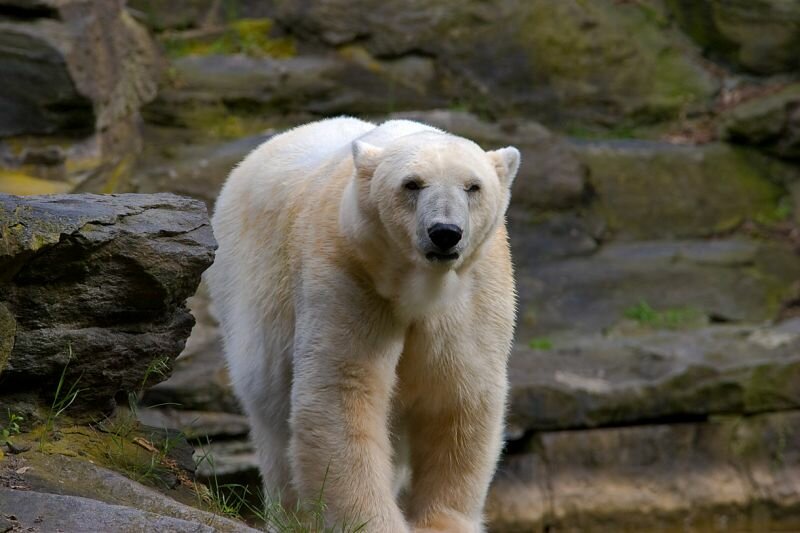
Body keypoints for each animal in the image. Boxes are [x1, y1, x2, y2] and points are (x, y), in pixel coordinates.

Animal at [206, 117, 520, 532]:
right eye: (412, 184)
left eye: (473, 186)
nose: (445, 232)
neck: (418, 285)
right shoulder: (347, 272)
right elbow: (342, 390)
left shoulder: (473, 295)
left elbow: (458, 397)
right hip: (247, 288)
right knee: (271, 417)